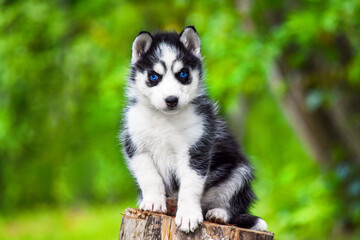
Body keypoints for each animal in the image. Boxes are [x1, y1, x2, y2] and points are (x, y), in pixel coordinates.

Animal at [121, 25, 268, 232]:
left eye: (183, 74)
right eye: (153, 76)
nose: (171, 100)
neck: (166, 119)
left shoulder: (197, 148)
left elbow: (190, 184)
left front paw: (189, 215)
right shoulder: (136, 145)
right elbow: (149, 176)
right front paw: (153, 202)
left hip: (239, 172)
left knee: (233, 207)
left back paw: (219, 214)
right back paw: (171, 204)